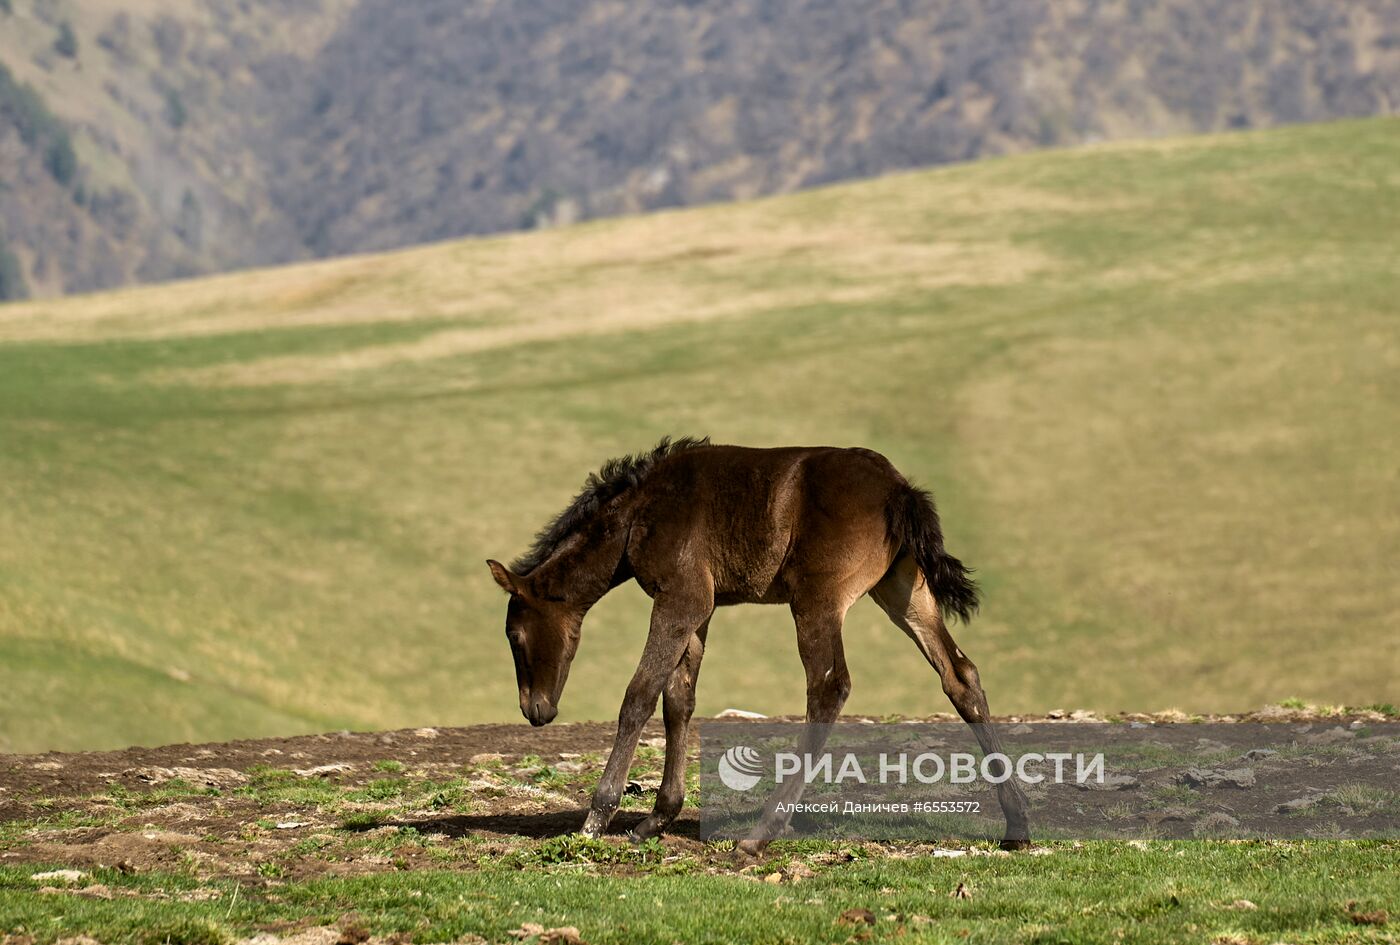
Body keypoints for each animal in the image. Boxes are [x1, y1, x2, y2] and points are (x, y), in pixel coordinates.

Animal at [487, 439, 1036, 851]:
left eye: (514, 635)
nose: (535, 710)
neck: (637, 515)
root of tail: (899, 489)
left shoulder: (680, 597)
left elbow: (639, 695)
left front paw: (597, 817)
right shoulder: (701, 607)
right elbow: (678, 700)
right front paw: (658, 818)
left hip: (818, 600)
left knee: (829, 687)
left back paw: (760, 833)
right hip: (903, 589)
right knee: (959, 674)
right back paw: (1017, 827)